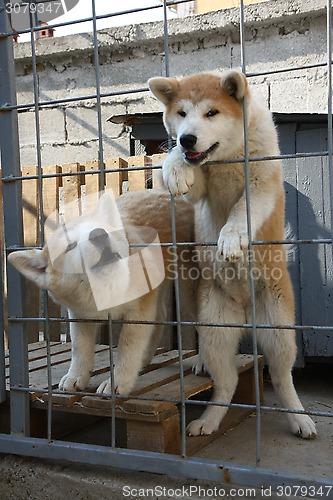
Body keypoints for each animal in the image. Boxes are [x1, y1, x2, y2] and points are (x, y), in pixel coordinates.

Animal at [8, 190, 195, 398]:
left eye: (101, 229)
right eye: (70, 246)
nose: (99, 234)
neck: (106, 291)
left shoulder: (139, 312)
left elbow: (128, 347)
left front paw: (120, 381)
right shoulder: (79, 315)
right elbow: (79, 348)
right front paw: (76, 376)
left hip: (190, 289)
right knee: (161, 315)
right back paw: (146, 357)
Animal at [148, 67, 316, 438]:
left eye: (212, 113)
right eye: (182, 114)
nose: (187, 139)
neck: (226, 158)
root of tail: (245, 313)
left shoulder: (262, 184)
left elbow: (243, 210)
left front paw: (232, 237)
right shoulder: (200, 190)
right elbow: (179, 168)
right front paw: (175, 168)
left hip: (279, 334)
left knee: (282, 379)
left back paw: (298, 417)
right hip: (215, 331)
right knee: (225, 384)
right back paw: (209, 420)